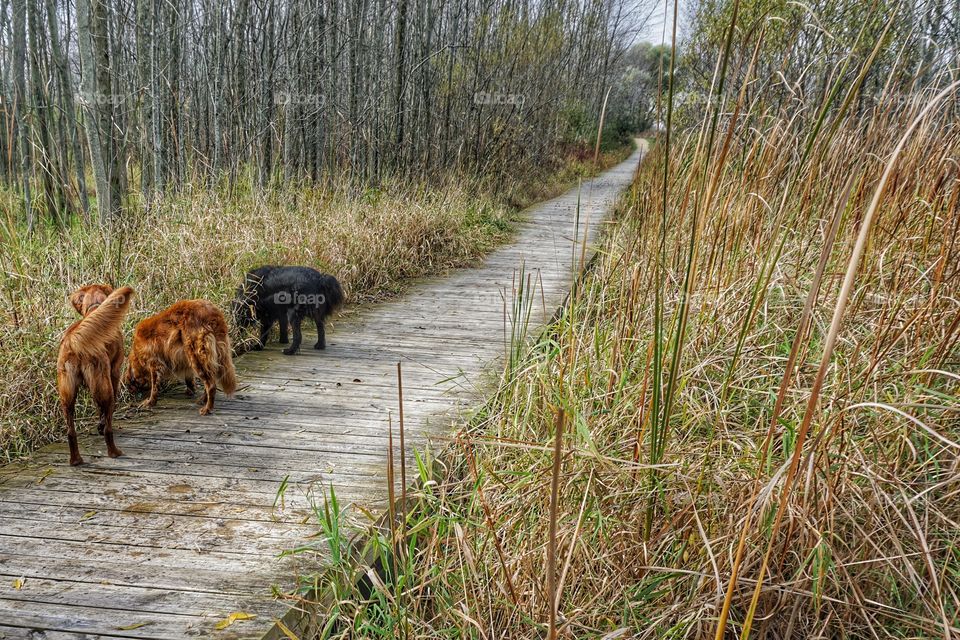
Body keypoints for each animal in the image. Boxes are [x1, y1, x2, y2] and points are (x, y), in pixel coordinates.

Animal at [57, 284, 134, 464]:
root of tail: (72, 342)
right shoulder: (114, 372)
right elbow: (104, 414)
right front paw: (100, 426)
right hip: (105, 386)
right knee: (108, 426)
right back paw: (114, 452)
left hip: (66, 394)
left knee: (70, 432)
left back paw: (76, 460)